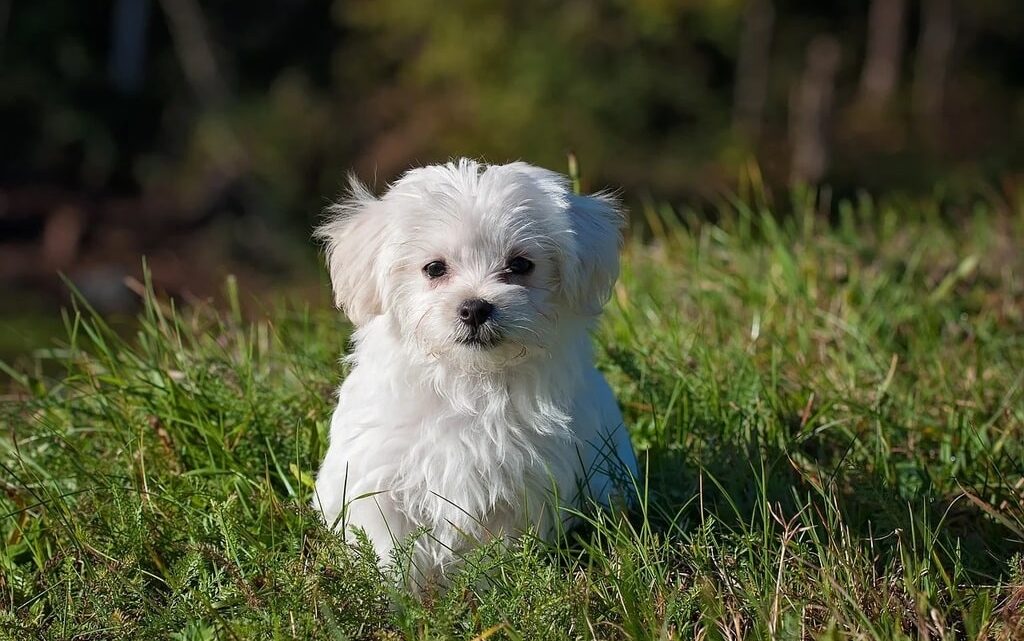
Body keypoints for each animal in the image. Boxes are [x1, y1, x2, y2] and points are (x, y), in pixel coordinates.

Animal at [311, 158, 634, 585]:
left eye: (520, 265)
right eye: (434, 268)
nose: (475, 307)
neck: (469, 382)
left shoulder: (522, 488)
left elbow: (496, 550)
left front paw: (487, 589)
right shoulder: (378, 479)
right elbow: (390, 547)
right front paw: (398, 594)